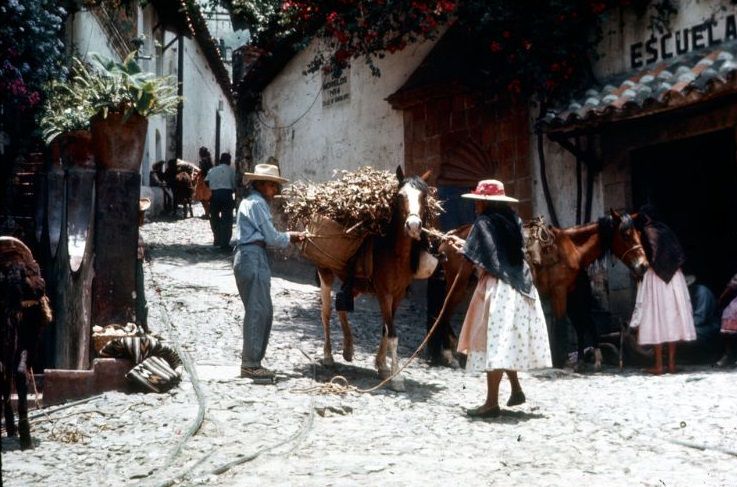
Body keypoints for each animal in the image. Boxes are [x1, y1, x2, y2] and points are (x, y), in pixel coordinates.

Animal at [316, 168, 432, 392]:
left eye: (424, 196)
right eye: (400, 196)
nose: (414, 226)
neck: (394, 253)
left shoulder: (398, 296)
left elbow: (386, 329)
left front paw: (383, 366)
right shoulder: (383, 294)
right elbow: (393, 334)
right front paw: (396, 378)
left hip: (356, 284)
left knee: (341, 307)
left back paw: (348, 349)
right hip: (325, 272)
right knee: (326, 312)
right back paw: (328, 356)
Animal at [434, 209, 648, 370]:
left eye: (638, 234)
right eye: (626, 235)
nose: (644, 266)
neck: (571, 248)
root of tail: (447, 238)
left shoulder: (571, 292)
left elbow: (579, 324)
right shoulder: (559, 292)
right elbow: (561, 323)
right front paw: (561, 361)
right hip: (458, 285)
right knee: (443, 313)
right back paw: (450, 356)